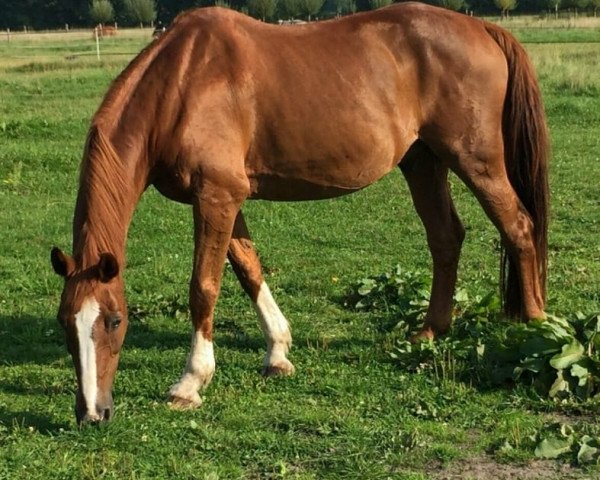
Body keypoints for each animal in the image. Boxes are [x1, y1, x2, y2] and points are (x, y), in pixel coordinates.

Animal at [50, 3, 548, 424]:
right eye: (65, 323)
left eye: (115, 320)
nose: (92, 413)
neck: (181, 83)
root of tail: (483, 28)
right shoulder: (225, 198)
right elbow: (249, 270)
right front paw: (278, 352)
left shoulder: (217, 196)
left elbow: (204, 287)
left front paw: (190, 383)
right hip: (424, 162)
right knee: (446, 237)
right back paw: (430, 332)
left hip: (476, 160)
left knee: (518, 228)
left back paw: (536, 328)